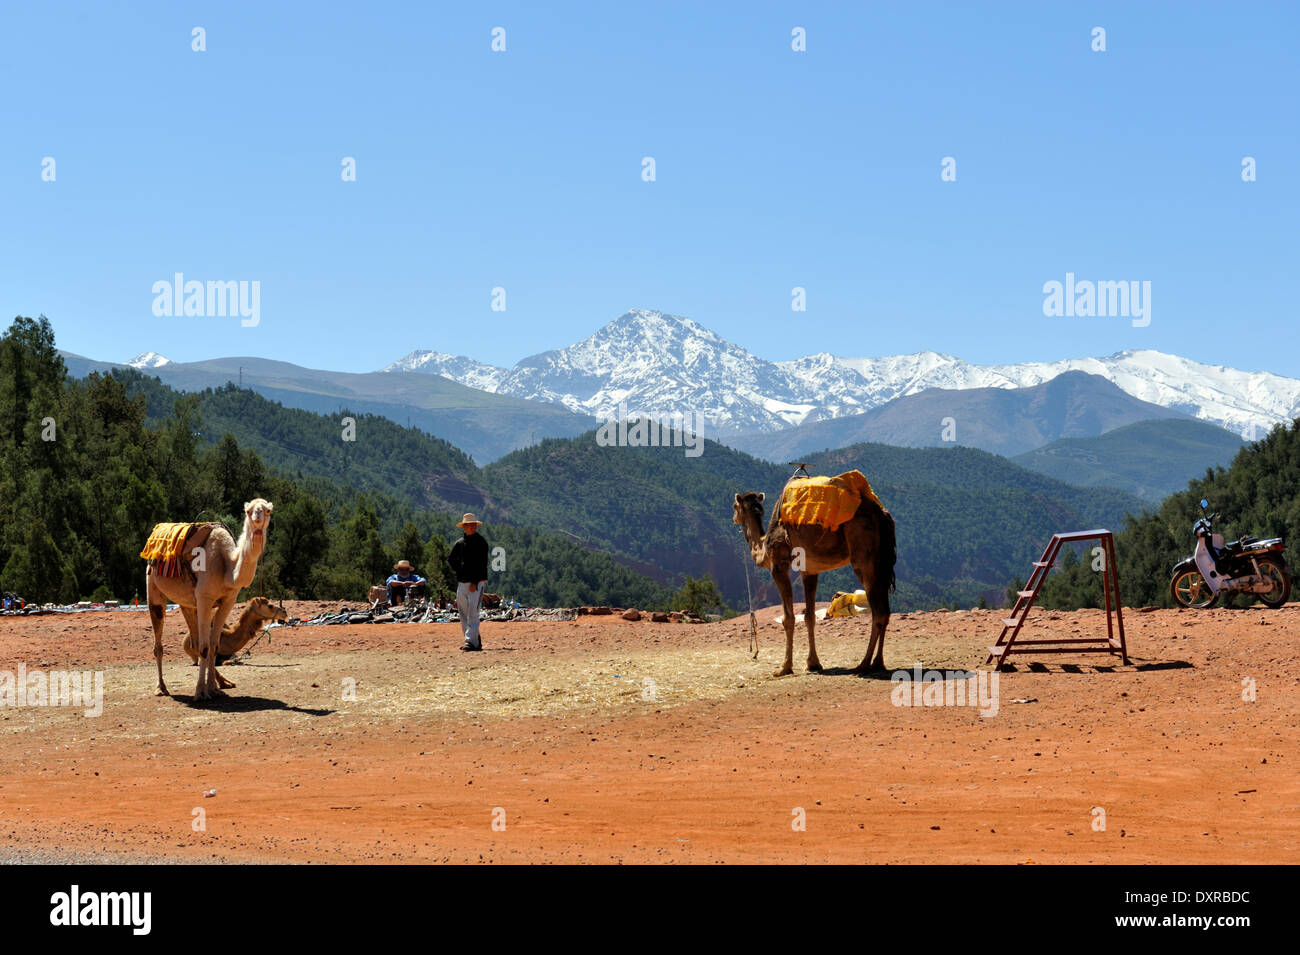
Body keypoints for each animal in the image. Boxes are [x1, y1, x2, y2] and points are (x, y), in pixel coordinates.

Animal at [144, 501, 271, 701]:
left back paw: (223, 683)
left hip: (188, 603)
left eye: (268, 510)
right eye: (248, 511)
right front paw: (200, 692)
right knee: (159, 642)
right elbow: (205, 647)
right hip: (153, 588)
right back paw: (161, 688)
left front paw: (212, 688)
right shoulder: (204, 598)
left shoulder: (228, 600)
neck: (227, 566)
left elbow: (213, 645)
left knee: (196, 640)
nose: (258, 518)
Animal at [733, 488, 894, 675]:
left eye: (735, 506)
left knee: (878, 612)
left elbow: (788, 618)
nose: (734, 518)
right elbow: (809, 616)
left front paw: (784, 667)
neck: (765, 546)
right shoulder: (809, 570)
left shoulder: (779, 566)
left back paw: (863, 664)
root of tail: (883, 515)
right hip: (882, 563)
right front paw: (813, 663)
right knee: (885, 611)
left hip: (864, 557)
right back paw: (878, 663)